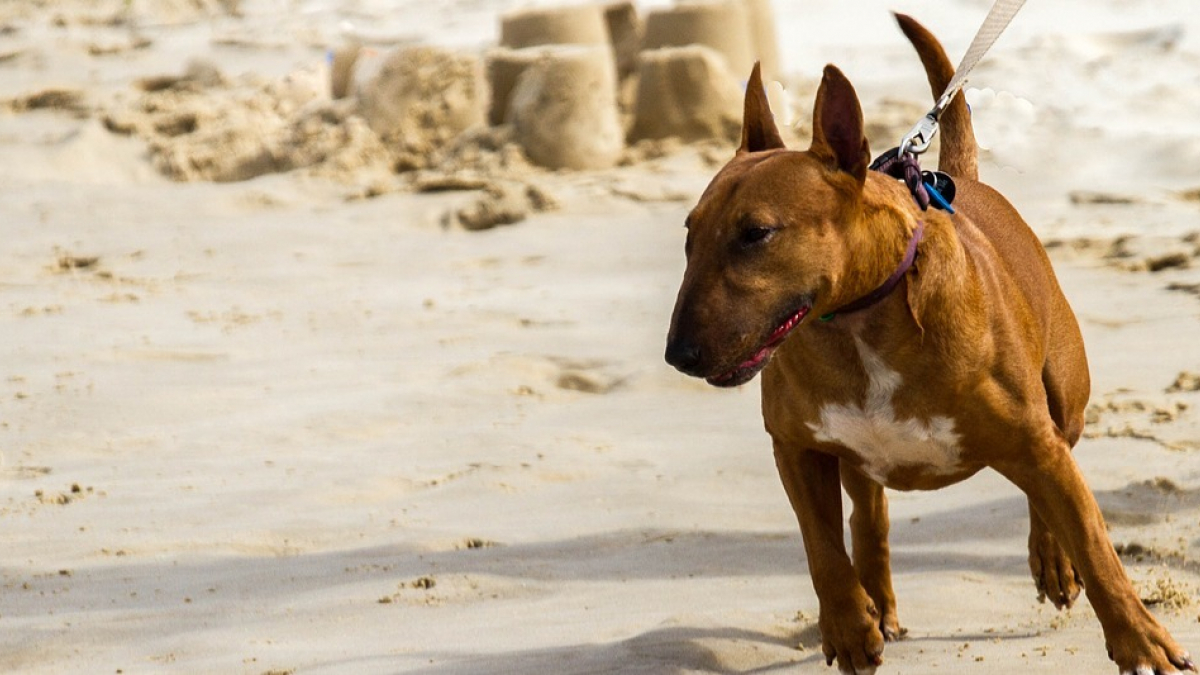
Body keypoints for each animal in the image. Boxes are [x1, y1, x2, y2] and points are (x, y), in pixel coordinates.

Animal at [667, 11, 1190, 672]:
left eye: (756, 233)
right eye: (690, 234)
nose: (679, 355)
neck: (858, 323)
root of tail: (958, 178)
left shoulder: (1033, 441)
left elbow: (1095, 546)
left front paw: (1143, 643)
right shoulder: (795, 447)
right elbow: (821, 546)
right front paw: (848, 628)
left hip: (1063, 402)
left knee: (1054, 474)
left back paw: (1051, 561)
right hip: (858, 458)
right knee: (870, 513)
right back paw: (877, 606)